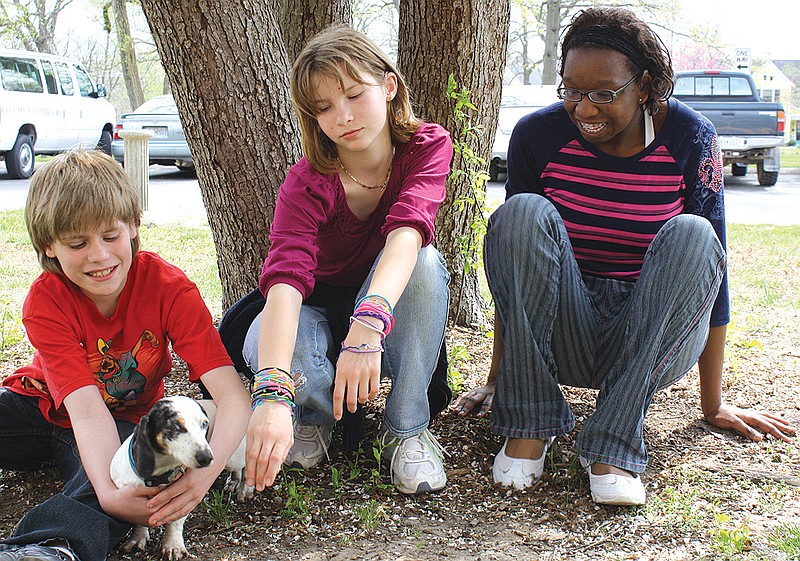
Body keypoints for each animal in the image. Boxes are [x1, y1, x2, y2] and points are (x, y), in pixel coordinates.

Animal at [111, 396, 252, 556]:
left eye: (204, 423)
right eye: (175, 426)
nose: (206, 457)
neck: (160, 474)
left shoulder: (184, 497)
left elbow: (176, 522)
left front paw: (173, 545)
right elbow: (137, 521)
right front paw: (137, 538)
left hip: (235, 458)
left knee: (245, 465)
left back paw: (245, 488)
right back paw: (233, 481)